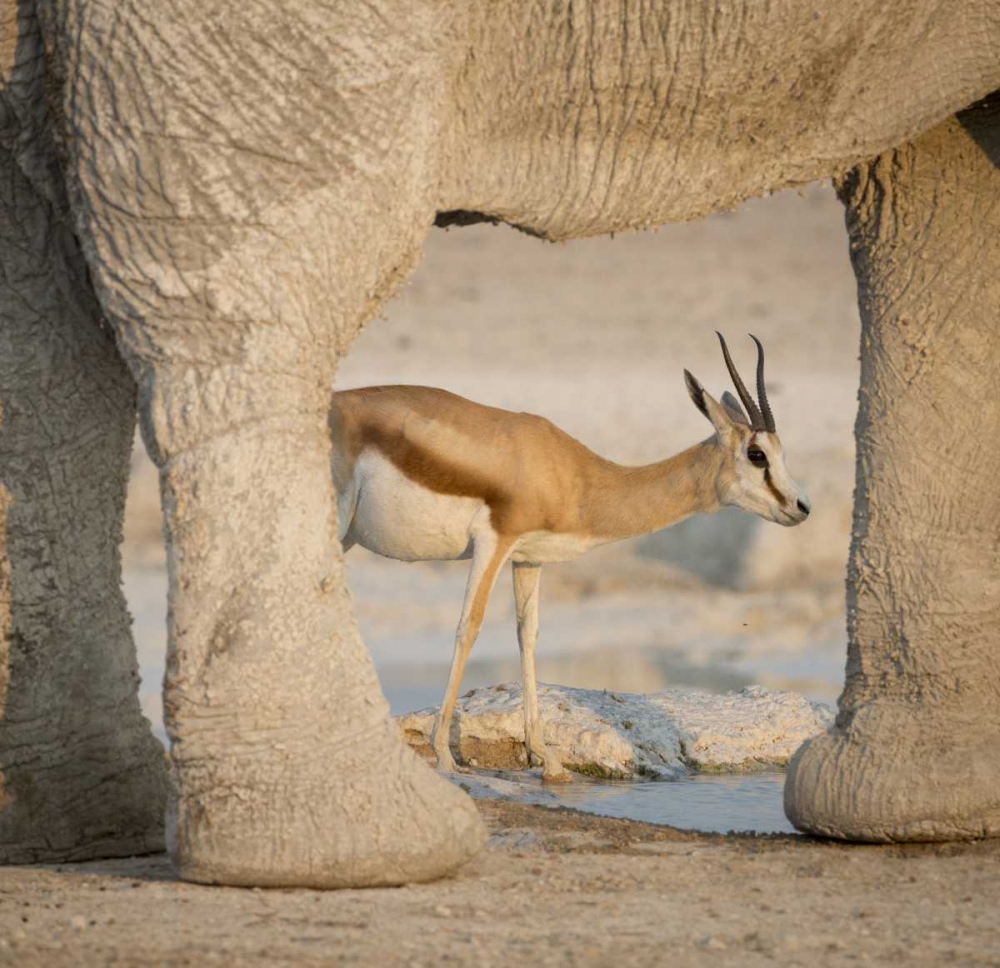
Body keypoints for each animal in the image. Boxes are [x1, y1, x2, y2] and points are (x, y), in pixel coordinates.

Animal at [1, 0, 998, 887]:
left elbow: (526, 642)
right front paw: (450, 756)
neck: (577, 471)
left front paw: (547, 763)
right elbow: (466, 627)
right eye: (755, 455)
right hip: (329, 515)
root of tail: (331, 405)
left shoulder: (534, 562)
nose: (799, 506)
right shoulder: (495, 540)